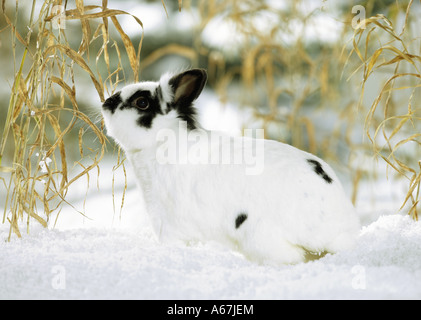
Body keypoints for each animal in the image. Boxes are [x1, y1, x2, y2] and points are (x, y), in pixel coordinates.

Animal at [100, 69, 360, 264]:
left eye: (142, 102)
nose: (106, 103)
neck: (161, 142)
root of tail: (340, 230)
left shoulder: (169, 227)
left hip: (258, 235)